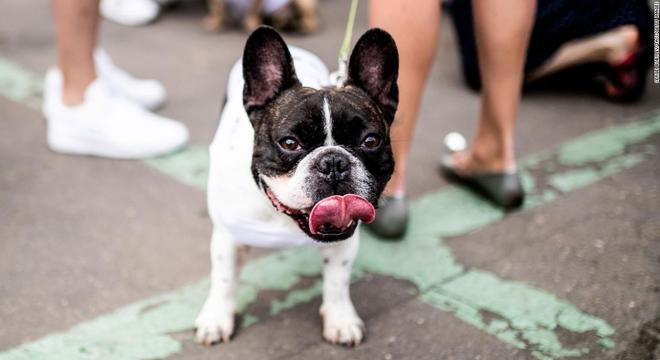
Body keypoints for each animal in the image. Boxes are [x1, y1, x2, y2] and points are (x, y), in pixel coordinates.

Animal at [196, 26, 398, 346]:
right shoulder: (228, 238)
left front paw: (341, 319)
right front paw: (216, 319)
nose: (333, 162)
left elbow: (338, 281)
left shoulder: (344, 243)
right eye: (290, 143)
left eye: (371, 141)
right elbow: (224, 279)